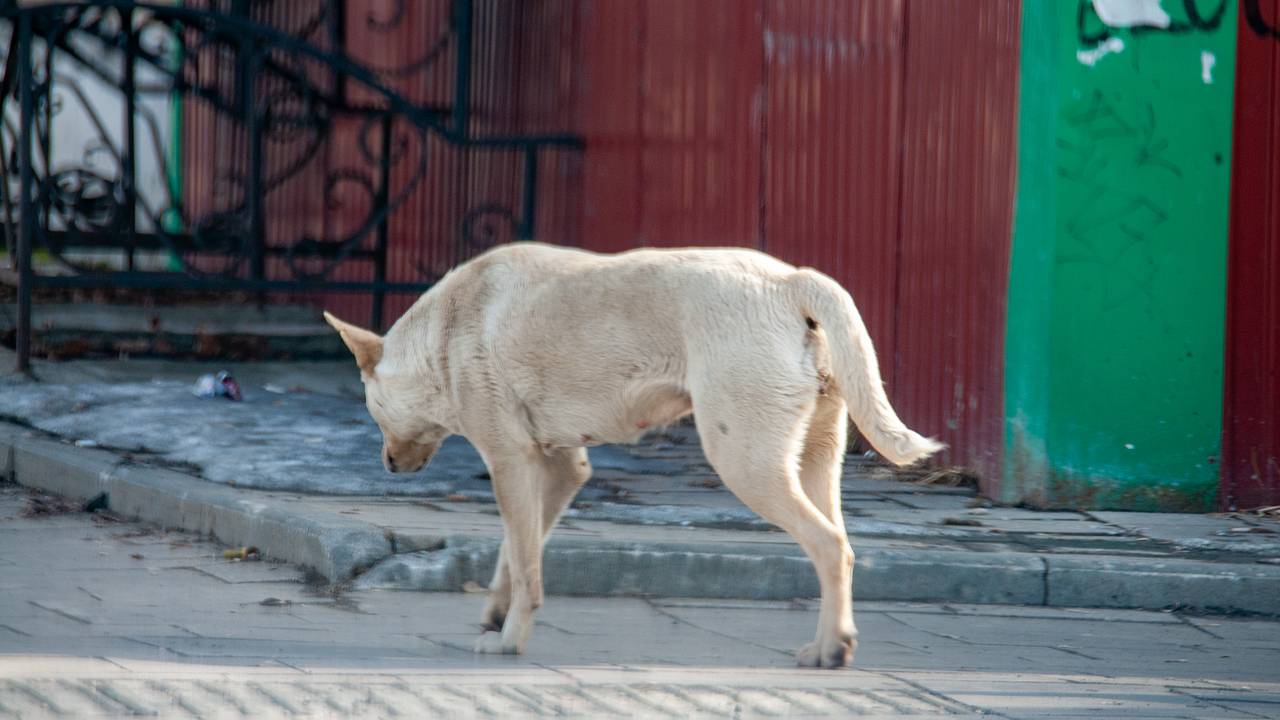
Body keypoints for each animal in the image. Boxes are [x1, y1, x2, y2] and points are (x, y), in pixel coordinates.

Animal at [320, 242, 942, 666]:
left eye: (371, 409)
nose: (388, 465)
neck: (441, 337)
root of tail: (790, 280)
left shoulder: (509, 461)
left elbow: (525, 565)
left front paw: (510, 640)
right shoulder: (560, 469)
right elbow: (517, 554)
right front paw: (497, 615)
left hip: (746, 463)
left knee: (829, 545)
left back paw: (830, 650)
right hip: (815, 461)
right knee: (842, 547)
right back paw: (830, 642)